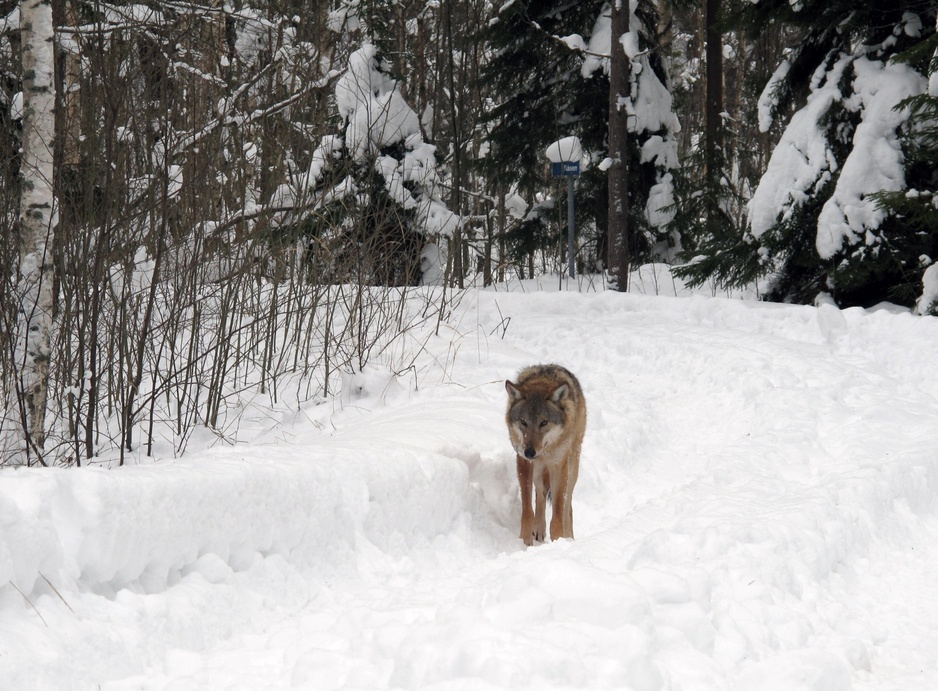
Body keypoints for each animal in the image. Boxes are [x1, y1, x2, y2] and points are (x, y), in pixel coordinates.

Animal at [504, 364, 584, 548]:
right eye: (524, 422)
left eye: (544, 422)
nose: (529, 452)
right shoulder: (524, 463)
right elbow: (528, 509)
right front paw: (525, 541)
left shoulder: (558, 466)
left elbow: (558, 512)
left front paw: (558, 540)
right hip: (538, 471)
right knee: (540, 495)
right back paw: (539, 530)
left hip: (572, 467)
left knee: (568, 506)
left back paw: (569, 537)